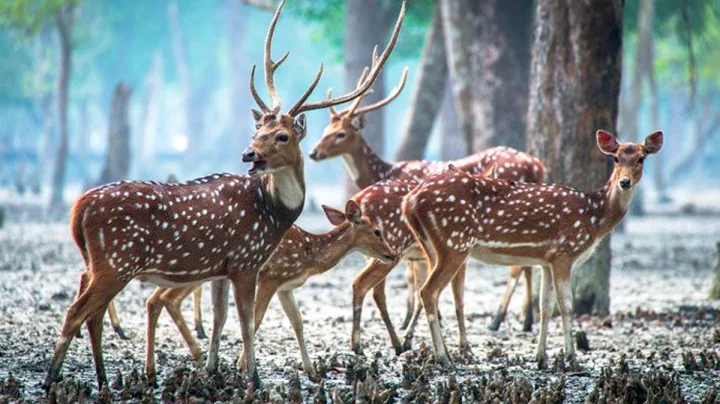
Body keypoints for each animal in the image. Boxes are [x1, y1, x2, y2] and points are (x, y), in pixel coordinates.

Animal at [43, 0, 404, 392]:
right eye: (257, 131)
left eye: (282, 136)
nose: (248, 154)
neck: (273, 214)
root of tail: (78, 208)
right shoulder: (247, 260)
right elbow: (247, 320)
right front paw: (253, 378)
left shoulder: (222, 267)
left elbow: (222, 318)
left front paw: (214, 371)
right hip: (115, 261)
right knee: (76, 312)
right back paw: (52, 379)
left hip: (100, 264)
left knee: (90, 314)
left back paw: (104, 380)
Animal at [402, 131, 660, 368]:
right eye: (616, 158)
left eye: (641, 158)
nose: (624, 182)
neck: (593, 217)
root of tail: (409, 200)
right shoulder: (565, 252)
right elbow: (566, 305)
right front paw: (572, 359)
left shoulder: (547, 260)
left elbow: (545, 306)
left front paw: (541, 359)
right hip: (454, 243)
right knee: (428, 292)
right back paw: (443, 358)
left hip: (432, 246)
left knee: (430, 292)